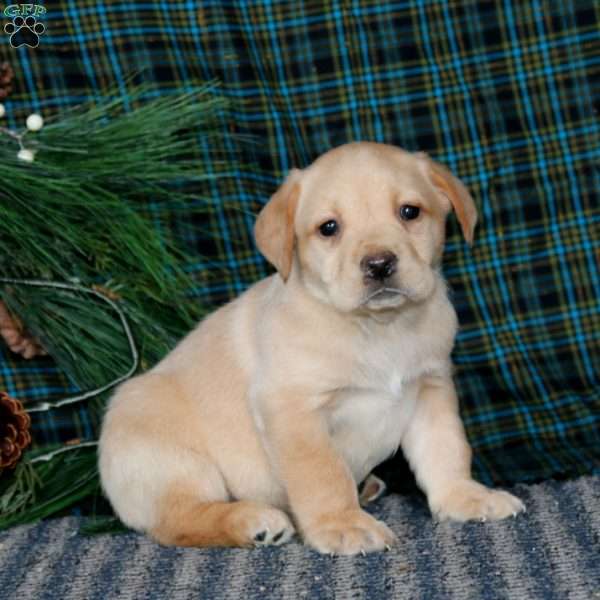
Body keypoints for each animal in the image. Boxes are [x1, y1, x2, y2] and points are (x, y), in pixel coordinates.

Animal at [97, 141, 520, 552]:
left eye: (409, 212)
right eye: (328, 228)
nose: (379, 264)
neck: (379, 328)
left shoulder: (431, 389)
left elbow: (447, 450)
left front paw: (465, 497)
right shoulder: (292, 409)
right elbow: (323, 474)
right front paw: (343, 525)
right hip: (174, 460)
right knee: (179, 521)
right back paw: (254, 521)